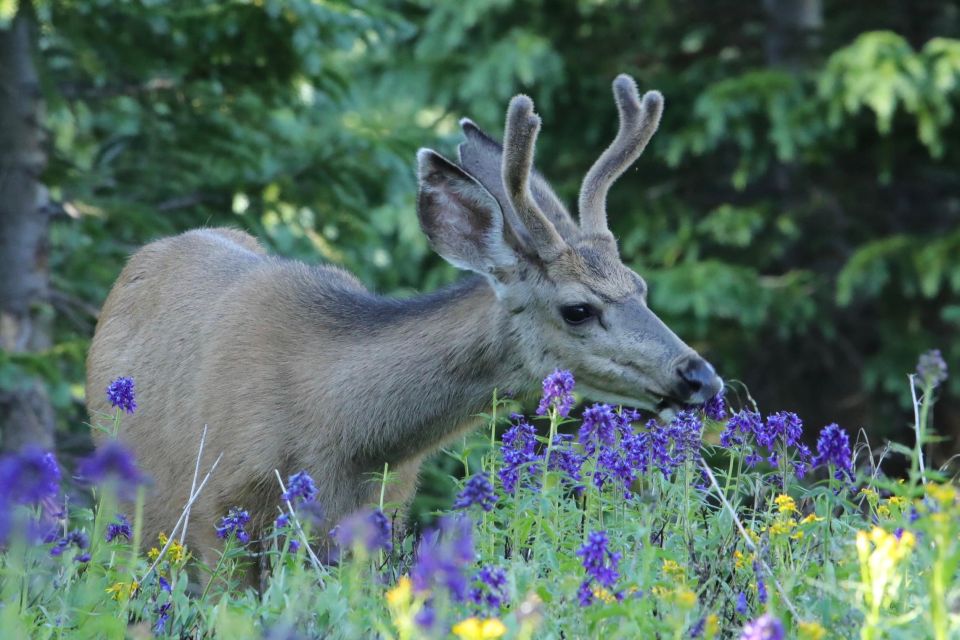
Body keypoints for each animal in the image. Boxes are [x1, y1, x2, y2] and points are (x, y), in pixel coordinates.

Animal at [88, 76, 720, 568]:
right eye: (578, 309)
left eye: (640, 286)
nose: (701, 377)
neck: (338, 429)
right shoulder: (216, 511)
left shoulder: (377, 515)